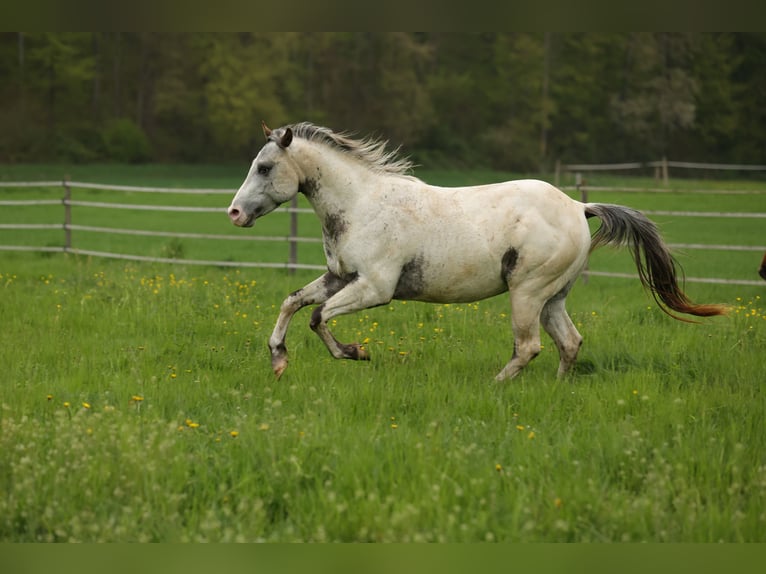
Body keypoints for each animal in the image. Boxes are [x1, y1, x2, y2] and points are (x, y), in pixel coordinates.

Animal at [227, 122, 726, 380]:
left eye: (264, 166)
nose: (234, 213)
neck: (362, 204)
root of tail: (578, 206)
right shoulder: (340, 278)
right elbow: (292, 302)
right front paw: (278, 360)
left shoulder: (374, 288)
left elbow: (318, 317)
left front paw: (355, 353)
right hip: (552, 298)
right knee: (569, 342)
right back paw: (557, 390)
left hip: (527, 292)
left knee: (529, 347)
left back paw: (496, 387)